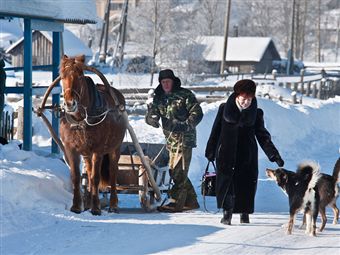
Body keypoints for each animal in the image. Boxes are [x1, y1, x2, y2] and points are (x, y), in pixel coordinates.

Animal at [59, 54, 127, 214]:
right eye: (62, 76)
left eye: (79, 75)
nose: (70, 104)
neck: (80, 121)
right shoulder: (71, 149)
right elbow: (77, 177)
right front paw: (77, 206)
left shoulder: (98, 150)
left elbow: (96, 177)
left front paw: (96, 208)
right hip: (86, 153)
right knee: (89, 173)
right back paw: (88, 202)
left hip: (115, 148)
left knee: (113, 172)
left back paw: (113, 204)